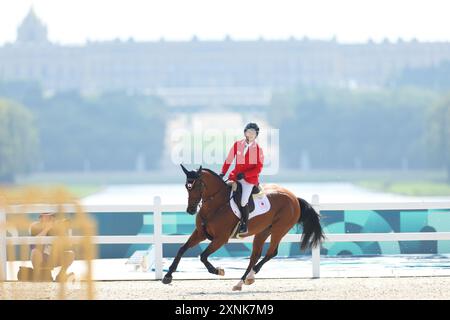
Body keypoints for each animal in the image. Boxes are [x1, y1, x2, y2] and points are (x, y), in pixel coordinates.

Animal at [162, 164, 324, 292]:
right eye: (187, 186)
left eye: (198, 185)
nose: (190, 210)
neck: (216, 204)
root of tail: (294, 198)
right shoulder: (200, 233)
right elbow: (182, 249)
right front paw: (168, 276)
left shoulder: (220, 239)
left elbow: (203, 256)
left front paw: (218, 271)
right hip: (263, 231)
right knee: (255, 256)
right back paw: (241, 282)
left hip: (279, 229)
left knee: (271, 253)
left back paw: (250, 276)